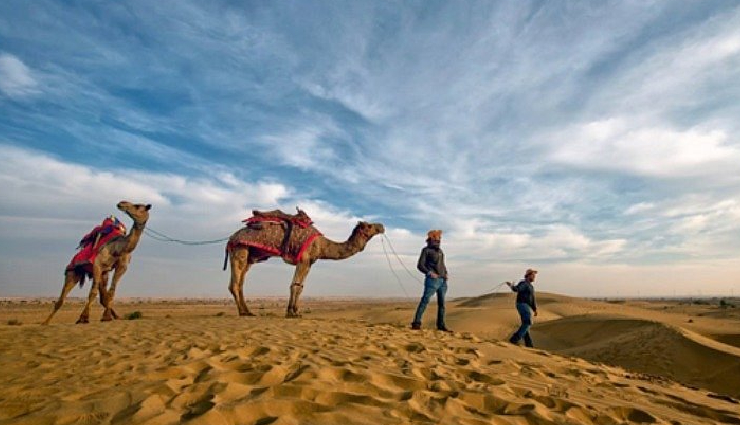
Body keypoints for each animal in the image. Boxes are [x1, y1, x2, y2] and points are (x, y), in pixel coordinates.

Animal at [226, 212, 384, 318]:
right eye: (370, 226)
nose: (382, 226)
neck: (322, 245)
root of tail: (231, 237)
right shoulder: (303, 259)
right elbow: (295, 285)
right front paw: (291, 313)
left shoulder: (309, 263)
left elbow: (300, 286)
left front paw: (295, 310)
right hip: (240, 249)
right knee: (235, 283)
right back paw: (243, 312)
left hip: (250, 257)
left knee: (240, 283)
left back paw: (248, 311)